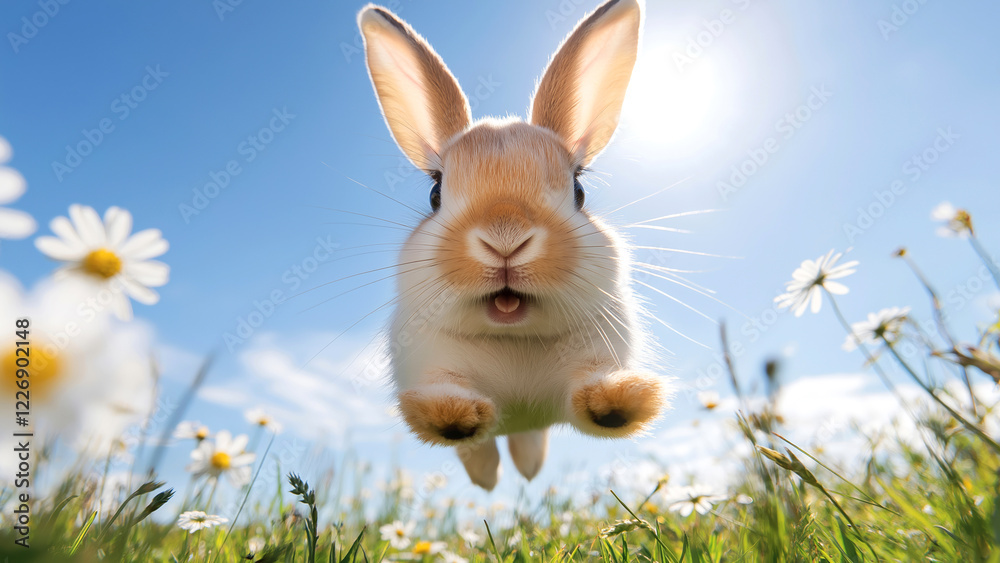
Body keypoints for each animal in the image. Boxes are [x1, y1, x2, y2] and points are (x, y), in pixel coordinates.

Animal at [357, 0, 668, 490]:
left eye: (579, 191)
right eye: (435, 194)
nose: (505, 237)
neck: (513, 335)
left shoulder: (597, 354)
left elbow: (591, 392)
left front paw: (624, 401)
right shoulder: (430, 363)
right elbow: (452, 412)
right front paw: (451, 417)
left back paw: (528, 468)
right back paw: (487, 477)